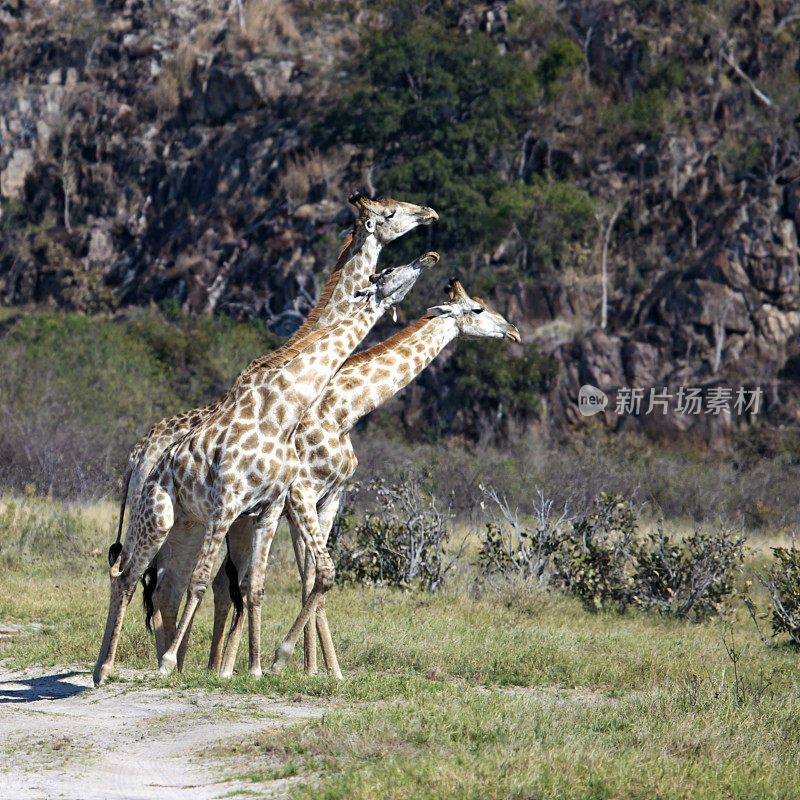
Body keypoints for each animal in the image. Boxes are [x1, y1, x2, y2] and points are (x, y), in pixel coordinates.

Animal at [108, 192, 434, 664]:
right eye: (391, 212)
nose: (429, 214)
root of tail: (137, 455)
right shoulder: (288, 498)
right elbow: (260, 583)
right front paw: (254, 667)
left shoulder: (274, 507)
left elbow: (257, 583)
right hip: (160, 515)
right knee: (142, 578)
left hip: (183, 522)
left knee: (164, 586)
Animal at [212, 278, 520, 680]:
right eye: (478, 308)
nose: (513, 331)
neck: (341, 412)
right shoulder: (301, 493)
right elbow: (319, 575)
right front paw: (283, 659)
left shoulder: (330, 496)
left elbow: (312, 579)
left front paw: (326, 671)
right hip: (244, 515)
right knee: (239, 580)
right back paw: (228, 666)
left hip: (250, 519)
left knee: (234, 580)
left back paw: (222, 663)